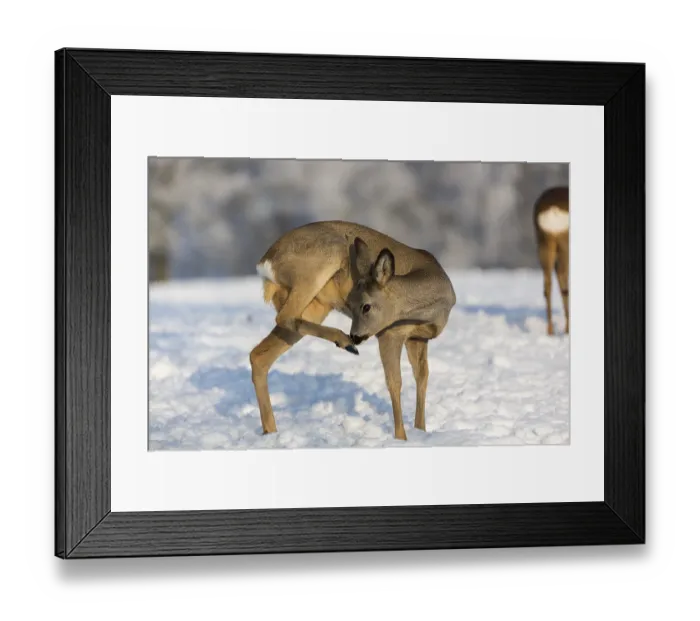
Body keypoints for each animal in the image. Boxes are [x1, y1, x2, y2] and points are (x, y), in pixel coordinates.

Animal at [249, 221, 457, 441]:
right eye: (350, 303)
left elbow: (422, 377)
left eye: (366, 306)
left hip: (315, 306)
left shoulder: (418, 338)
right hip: (321, 264)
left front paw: (421, 430)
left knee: (259, 355)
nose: (356, 336)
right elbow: (395, 381)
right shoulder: (390, 333)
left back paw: (270, 432)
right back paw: (344, 341)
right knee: (284, 317)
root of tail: (265, 263)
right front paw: (402, 438)